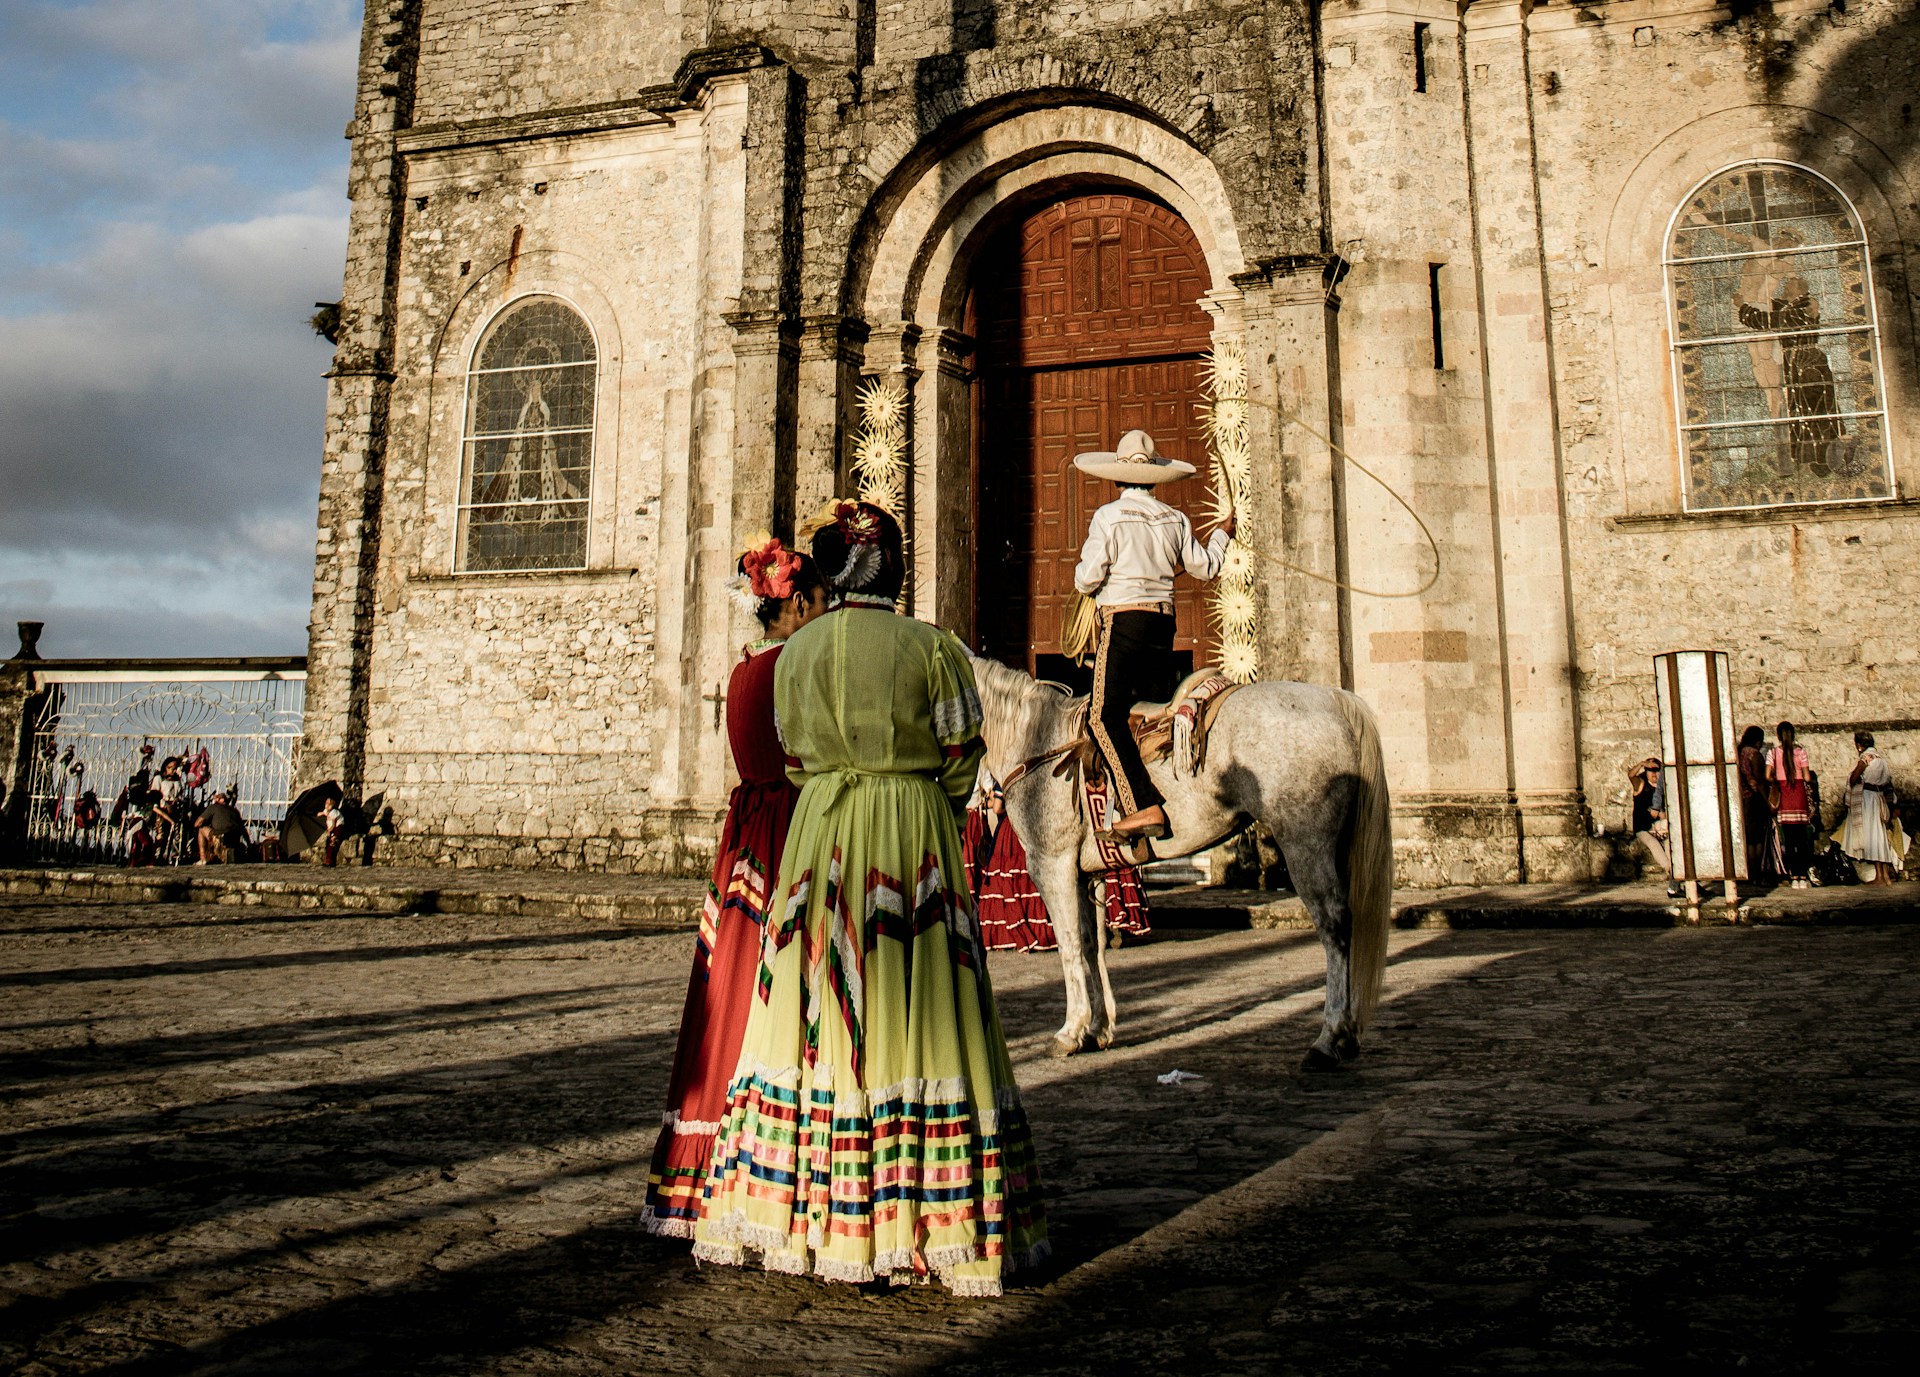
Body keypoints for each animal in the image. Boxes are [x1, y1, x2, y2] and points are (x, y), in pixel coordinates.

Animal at [967, 649, 1390, 1067]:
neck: (1033, 737)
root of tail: (1336, 700)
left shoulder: (1050, 864)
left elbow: (1069, 944)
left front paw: (1070, 1031)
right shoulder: (1088, 873)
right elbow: (1092, 946)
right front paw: (1098, 1029)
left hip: (1306, 844)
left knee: (1334, 926)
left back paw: (1329, 1038)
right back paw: (1346, 1035)